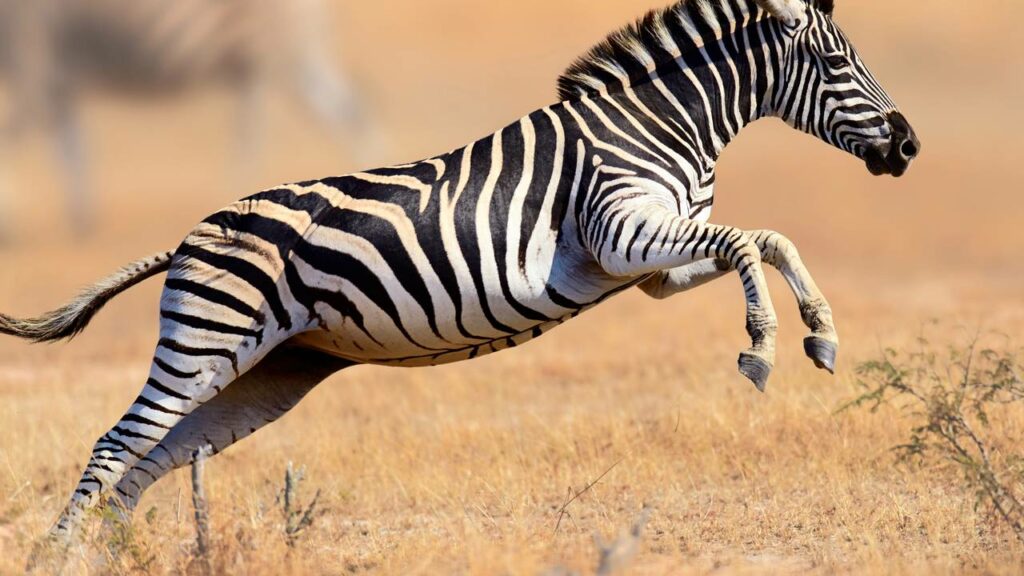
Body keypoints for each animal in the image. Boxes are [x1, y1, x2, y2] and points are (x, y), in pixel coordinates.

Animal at [0, 0, 370, 236]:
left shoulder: (34, 67)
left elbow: (14, 139)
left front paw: (10, 223)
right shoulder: (57, 83)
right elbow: (72, 149)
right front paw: (83, 220)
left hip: (279, 57)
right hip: (273, 65)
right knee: (349, 113)